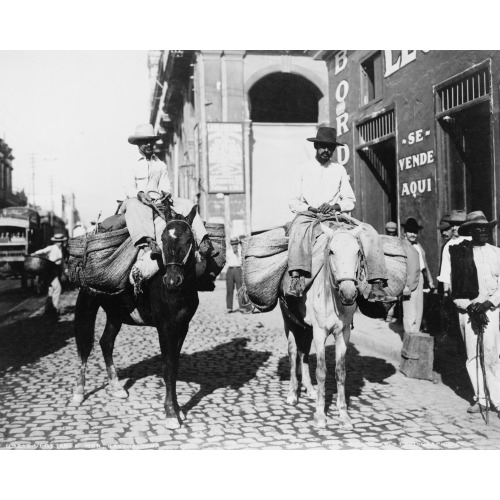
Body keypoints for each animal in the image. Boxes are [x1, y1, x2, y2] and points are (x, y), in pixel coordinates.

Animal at [71, 199, 199, 430]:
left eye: (188, 240)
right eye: (163, 238)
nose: (172, 280)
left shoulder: (182, 327)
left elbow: (174, 365)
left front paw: (178, 411)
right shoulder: (165, 328)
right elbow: (168, 367)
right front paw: (170, 413)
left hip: (115, 315)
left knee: (106, 343)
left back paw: (117, 388)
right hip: (87, 305)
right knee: (84, 347)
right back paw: (78, 393)